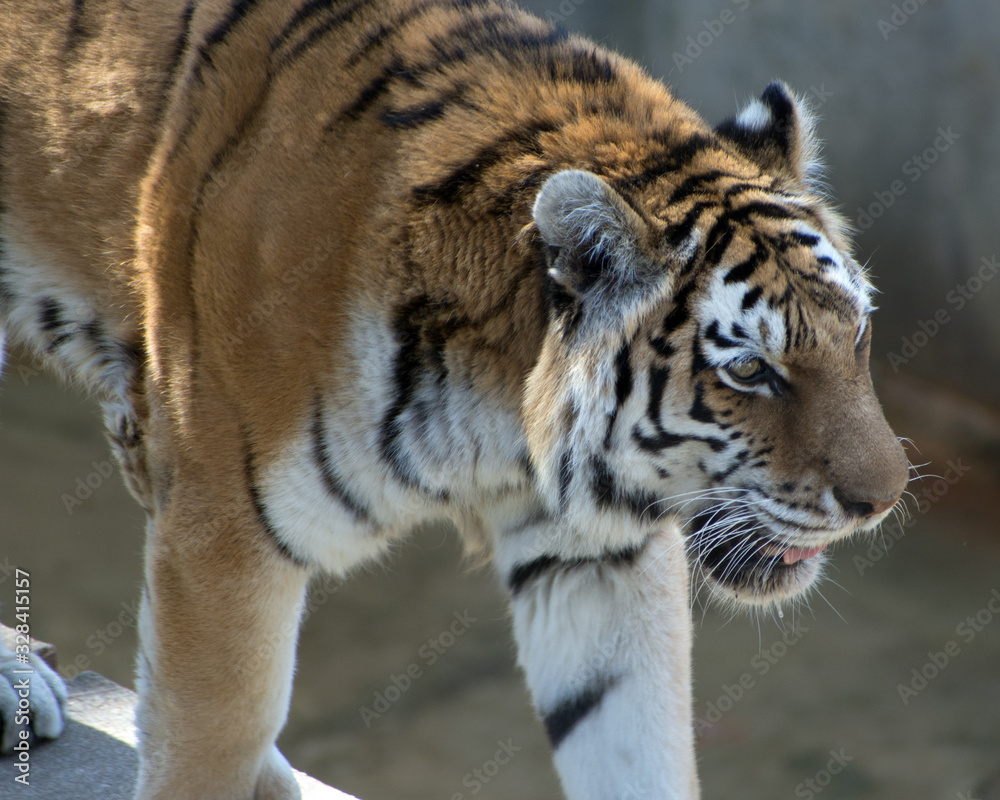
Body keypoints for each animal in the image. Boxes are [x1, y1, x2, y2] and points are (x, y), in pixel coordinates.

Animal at [0, 0, 910, 797]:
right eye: (750, 370)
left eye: (858, 334)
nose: (883, 502)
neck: (500, 423)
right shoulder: (220, 537)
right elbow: (207, 741)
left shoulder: (596, 556)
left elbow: (634, 743)